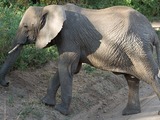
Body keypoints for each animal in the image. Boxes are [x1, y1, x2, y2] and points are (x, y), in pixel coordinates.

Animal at [0, 3, 160, 115]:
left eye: (26, 26)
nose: (7, 83)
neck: (49, 8)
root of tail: (152, 31)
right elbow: (69, 68)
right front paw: (46, 103)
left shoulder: (69, 36)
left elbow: (65, 66)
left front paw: (60, 111)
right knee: (132, 79)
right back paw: (129, 112)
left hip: (137, 47)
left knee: (150, 76)